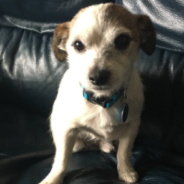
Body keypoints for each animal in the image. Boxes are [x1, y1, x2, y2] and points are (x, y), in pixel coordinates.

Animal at [40, 2, 155, 184]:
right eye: (78, 45)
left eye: (122, 40)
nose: (98, 76)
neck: (103, 101)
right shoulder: (67, 130)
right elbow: (61, 159)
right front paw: (53, 178)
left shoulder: (132, 126)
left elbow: (124, 152)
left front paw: (126, 171)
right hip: (73, 140)